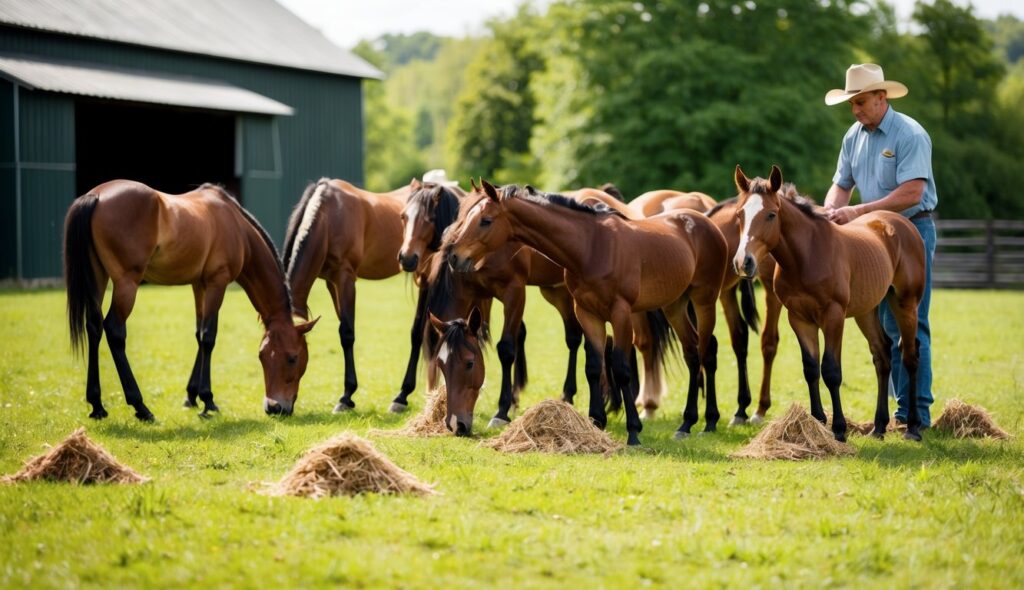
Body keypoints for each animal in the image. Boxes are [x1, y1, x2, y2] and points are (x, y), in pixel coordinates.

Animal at [62, 180, 315, 419]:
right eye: (292, 358)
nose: (275, 407)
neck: (237, 227)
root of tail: (96, 196)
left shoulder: (199, 285)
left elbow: (198, 334)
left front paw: (191, 396)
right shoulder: (217, 283)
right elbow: (208, 337)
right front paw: (208, 400)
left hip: (98, 276)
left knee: (94, 327)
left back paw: (97, 405)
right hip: (126, 284)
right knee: (114, 331)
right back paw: (140, 406)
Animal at [284, 177, 436, 411]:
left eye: (292, 358)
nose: (276, 408)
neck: (329, 216)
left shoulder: (346, 278)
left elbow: (347, 333)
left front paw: (346, 396)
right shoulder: (331, 282)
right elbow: (344, 328)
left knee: (421, 331)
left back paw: (403, 396)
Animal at [448, 182, 729, 444]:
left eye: (485, 220)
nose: (454, 256)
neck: (592, 246)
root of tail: (708, 222)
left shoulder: (620, 313)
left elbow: (621, 368)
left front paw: (633, 432)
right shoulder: (587, 313)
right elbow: (593, 365)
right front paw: (597, 421)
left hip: (704, 300)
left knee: (707, 351)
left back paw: (709, 422)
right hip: (675, 305)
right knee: (691, 353)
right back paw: (686, 424)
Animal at [733, 163, 925, 440]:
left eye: (770, 214)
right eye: (739, 214)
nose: (743, 262)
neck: (806, 257)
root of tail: (903, 224)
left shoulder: (833, 316)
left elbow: (831, 371)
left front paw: (839, 429)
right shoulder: (799, 318)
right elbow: (811, 369)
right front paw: (818, 422)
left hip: (906, 303)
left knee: (910, 355)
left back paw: (913, 427)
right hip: (866, 310)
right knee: (882, 353)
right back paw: (878, 427)